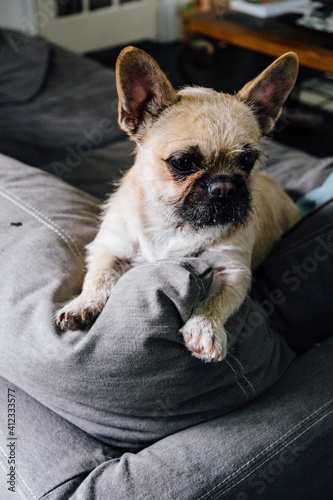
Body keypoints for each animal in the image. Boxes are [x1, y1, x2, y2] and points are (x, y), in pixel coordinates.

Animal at [57, 47, 300, 362]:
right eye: (183, 162)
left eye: (248, 161)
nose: (224, 186)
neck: (175, 222)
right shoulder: (110, 249)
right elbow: (99, 278)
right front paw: (84, 303)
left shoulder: (232, 271)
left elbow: (216, 302)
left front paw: (205, 328)